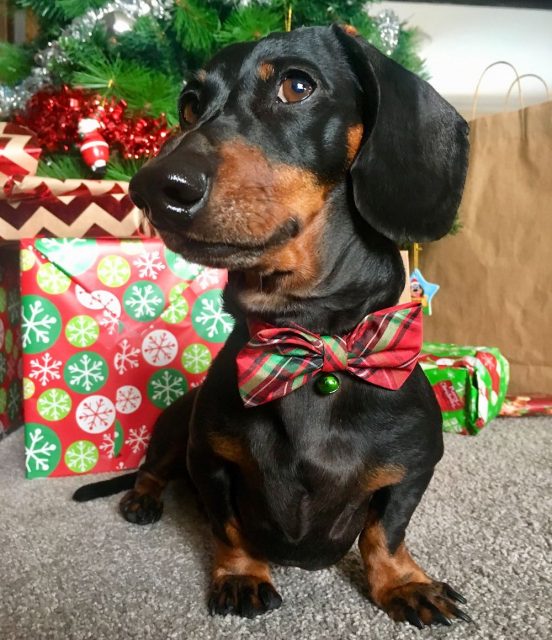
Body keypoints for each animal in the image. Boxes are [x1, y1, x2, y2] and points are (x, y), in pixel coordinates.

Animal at [74, 26, 470, 632]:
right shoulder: (210, 462)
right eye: (189, 105)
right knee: (152, 469)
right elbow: (228, 528)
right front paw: (242, 576)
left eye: (296, 85)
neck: (309, 344)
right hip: (175, 425)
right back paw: (143, 498)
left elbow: (385, 532)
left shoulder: (414, 468)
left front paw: (405, 583)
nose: (150, 187)